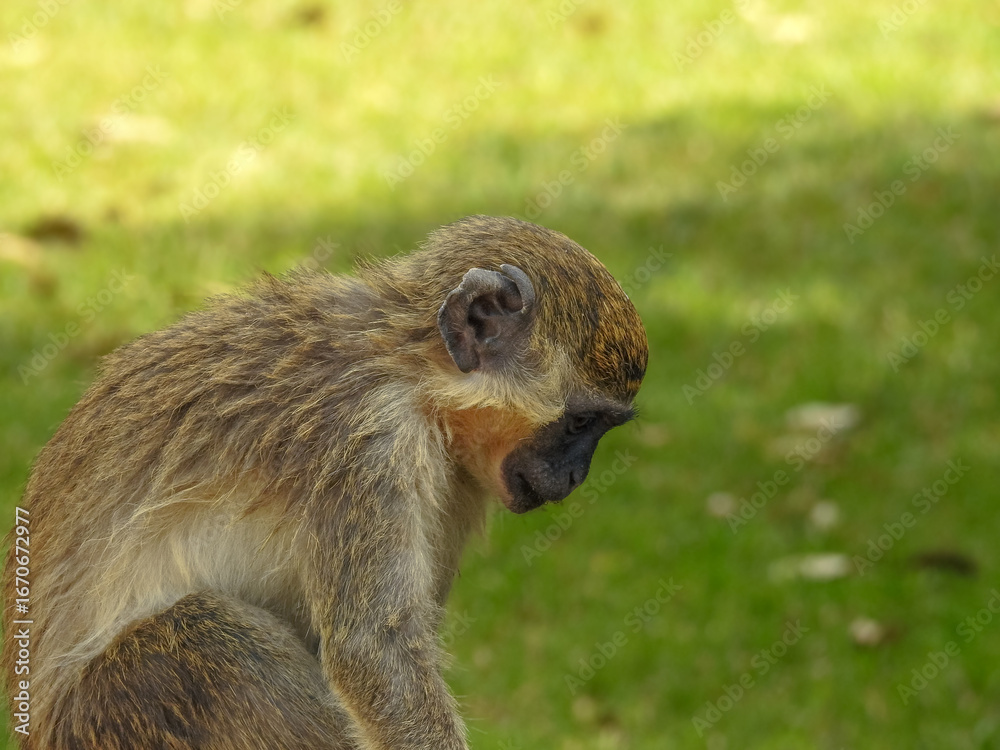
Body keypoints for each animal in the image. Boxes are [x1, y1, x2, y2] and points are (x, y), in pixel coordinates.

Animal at [2, 215, 647, 750]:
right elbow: (375, 654)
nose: (574, 476)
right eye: (581, 422)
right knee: (206, 635)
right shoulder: (366, 440)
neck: (416, 374)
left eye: (599, 428)